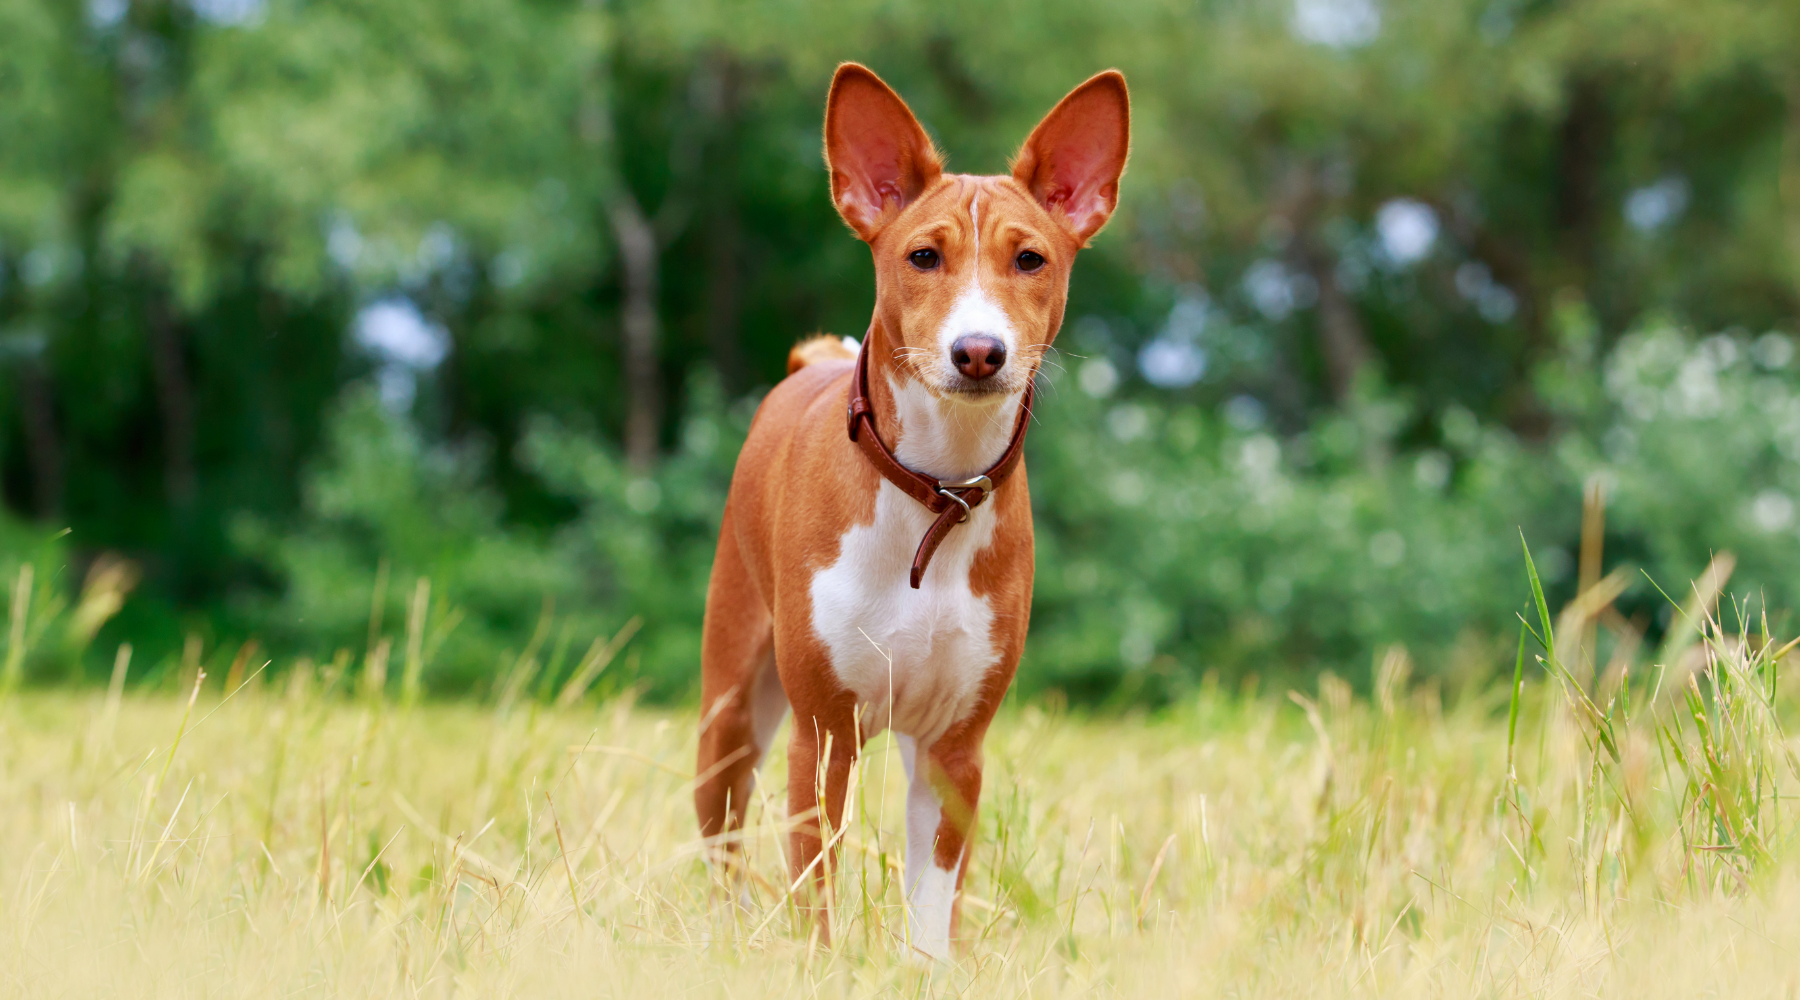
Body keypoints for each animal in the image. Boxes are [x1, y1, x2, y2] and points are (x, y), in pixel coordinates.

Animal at [698, 62, 1130, 964]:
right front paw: (821, 967)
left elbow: (934, 897)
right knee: (719, 838)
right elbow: (815, 884)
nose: (979, 351)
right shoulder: (822, 736)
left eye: (1030, 258)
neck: (935, 493)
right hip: (732, 709)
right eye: (923, 256)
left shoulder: (956, 745)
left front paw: (932, 968)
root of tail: (807, 366)